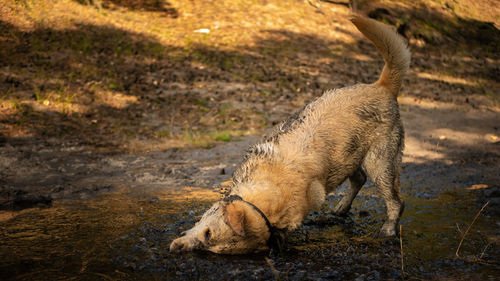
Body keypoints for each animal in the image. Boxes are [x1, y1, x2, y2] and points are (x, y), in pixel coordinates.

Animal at [170, 13, 412, 254]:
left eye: (208, 235)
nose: (179, 247)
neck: (268, 190)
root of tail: (382, 87)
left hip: (379, 163)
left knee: (395, 201)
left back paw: (388, 228)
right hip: (350, 155)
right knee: (359, 179)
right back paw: (341, 208)